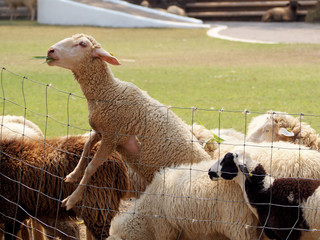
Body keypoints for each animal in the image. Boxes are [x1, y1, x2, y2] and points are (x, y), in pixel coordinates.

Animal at [46, 33, 212, 210]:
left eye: (83, 44)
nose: (50, 51)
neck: (108, 92)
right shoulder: (102, 130)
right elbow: (86, 146)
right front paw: (73, 175)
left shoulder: (113, 136)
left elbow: (91, 167)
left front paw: (72, 199)